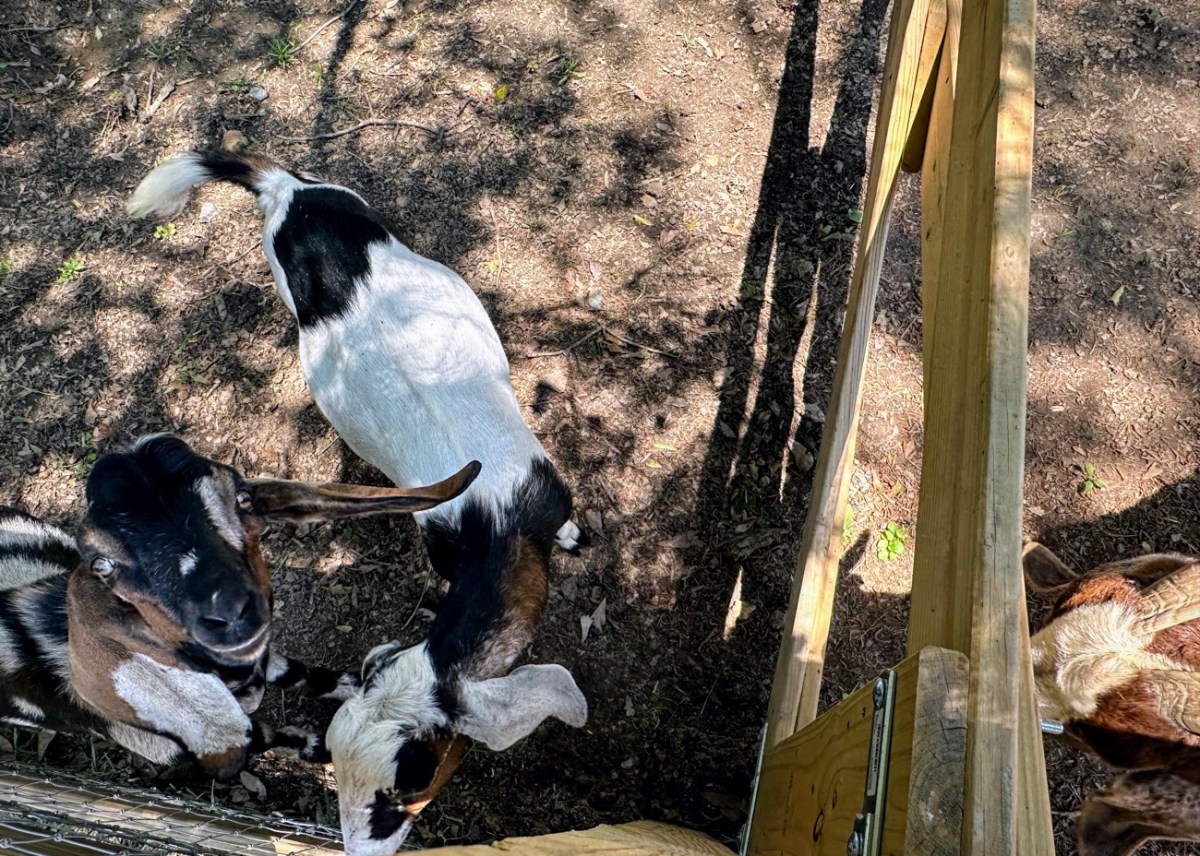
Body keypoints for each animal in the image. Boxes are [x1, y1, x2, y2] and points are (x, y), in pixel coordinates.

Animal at [0, 434, 479, 780]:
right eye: (103, 565)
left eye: (243, 497)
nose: (229, 612)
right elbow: (270, 736)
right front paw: (322, 746)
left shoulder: (264, 661)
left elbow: (304, 675)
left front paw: (363, 685)